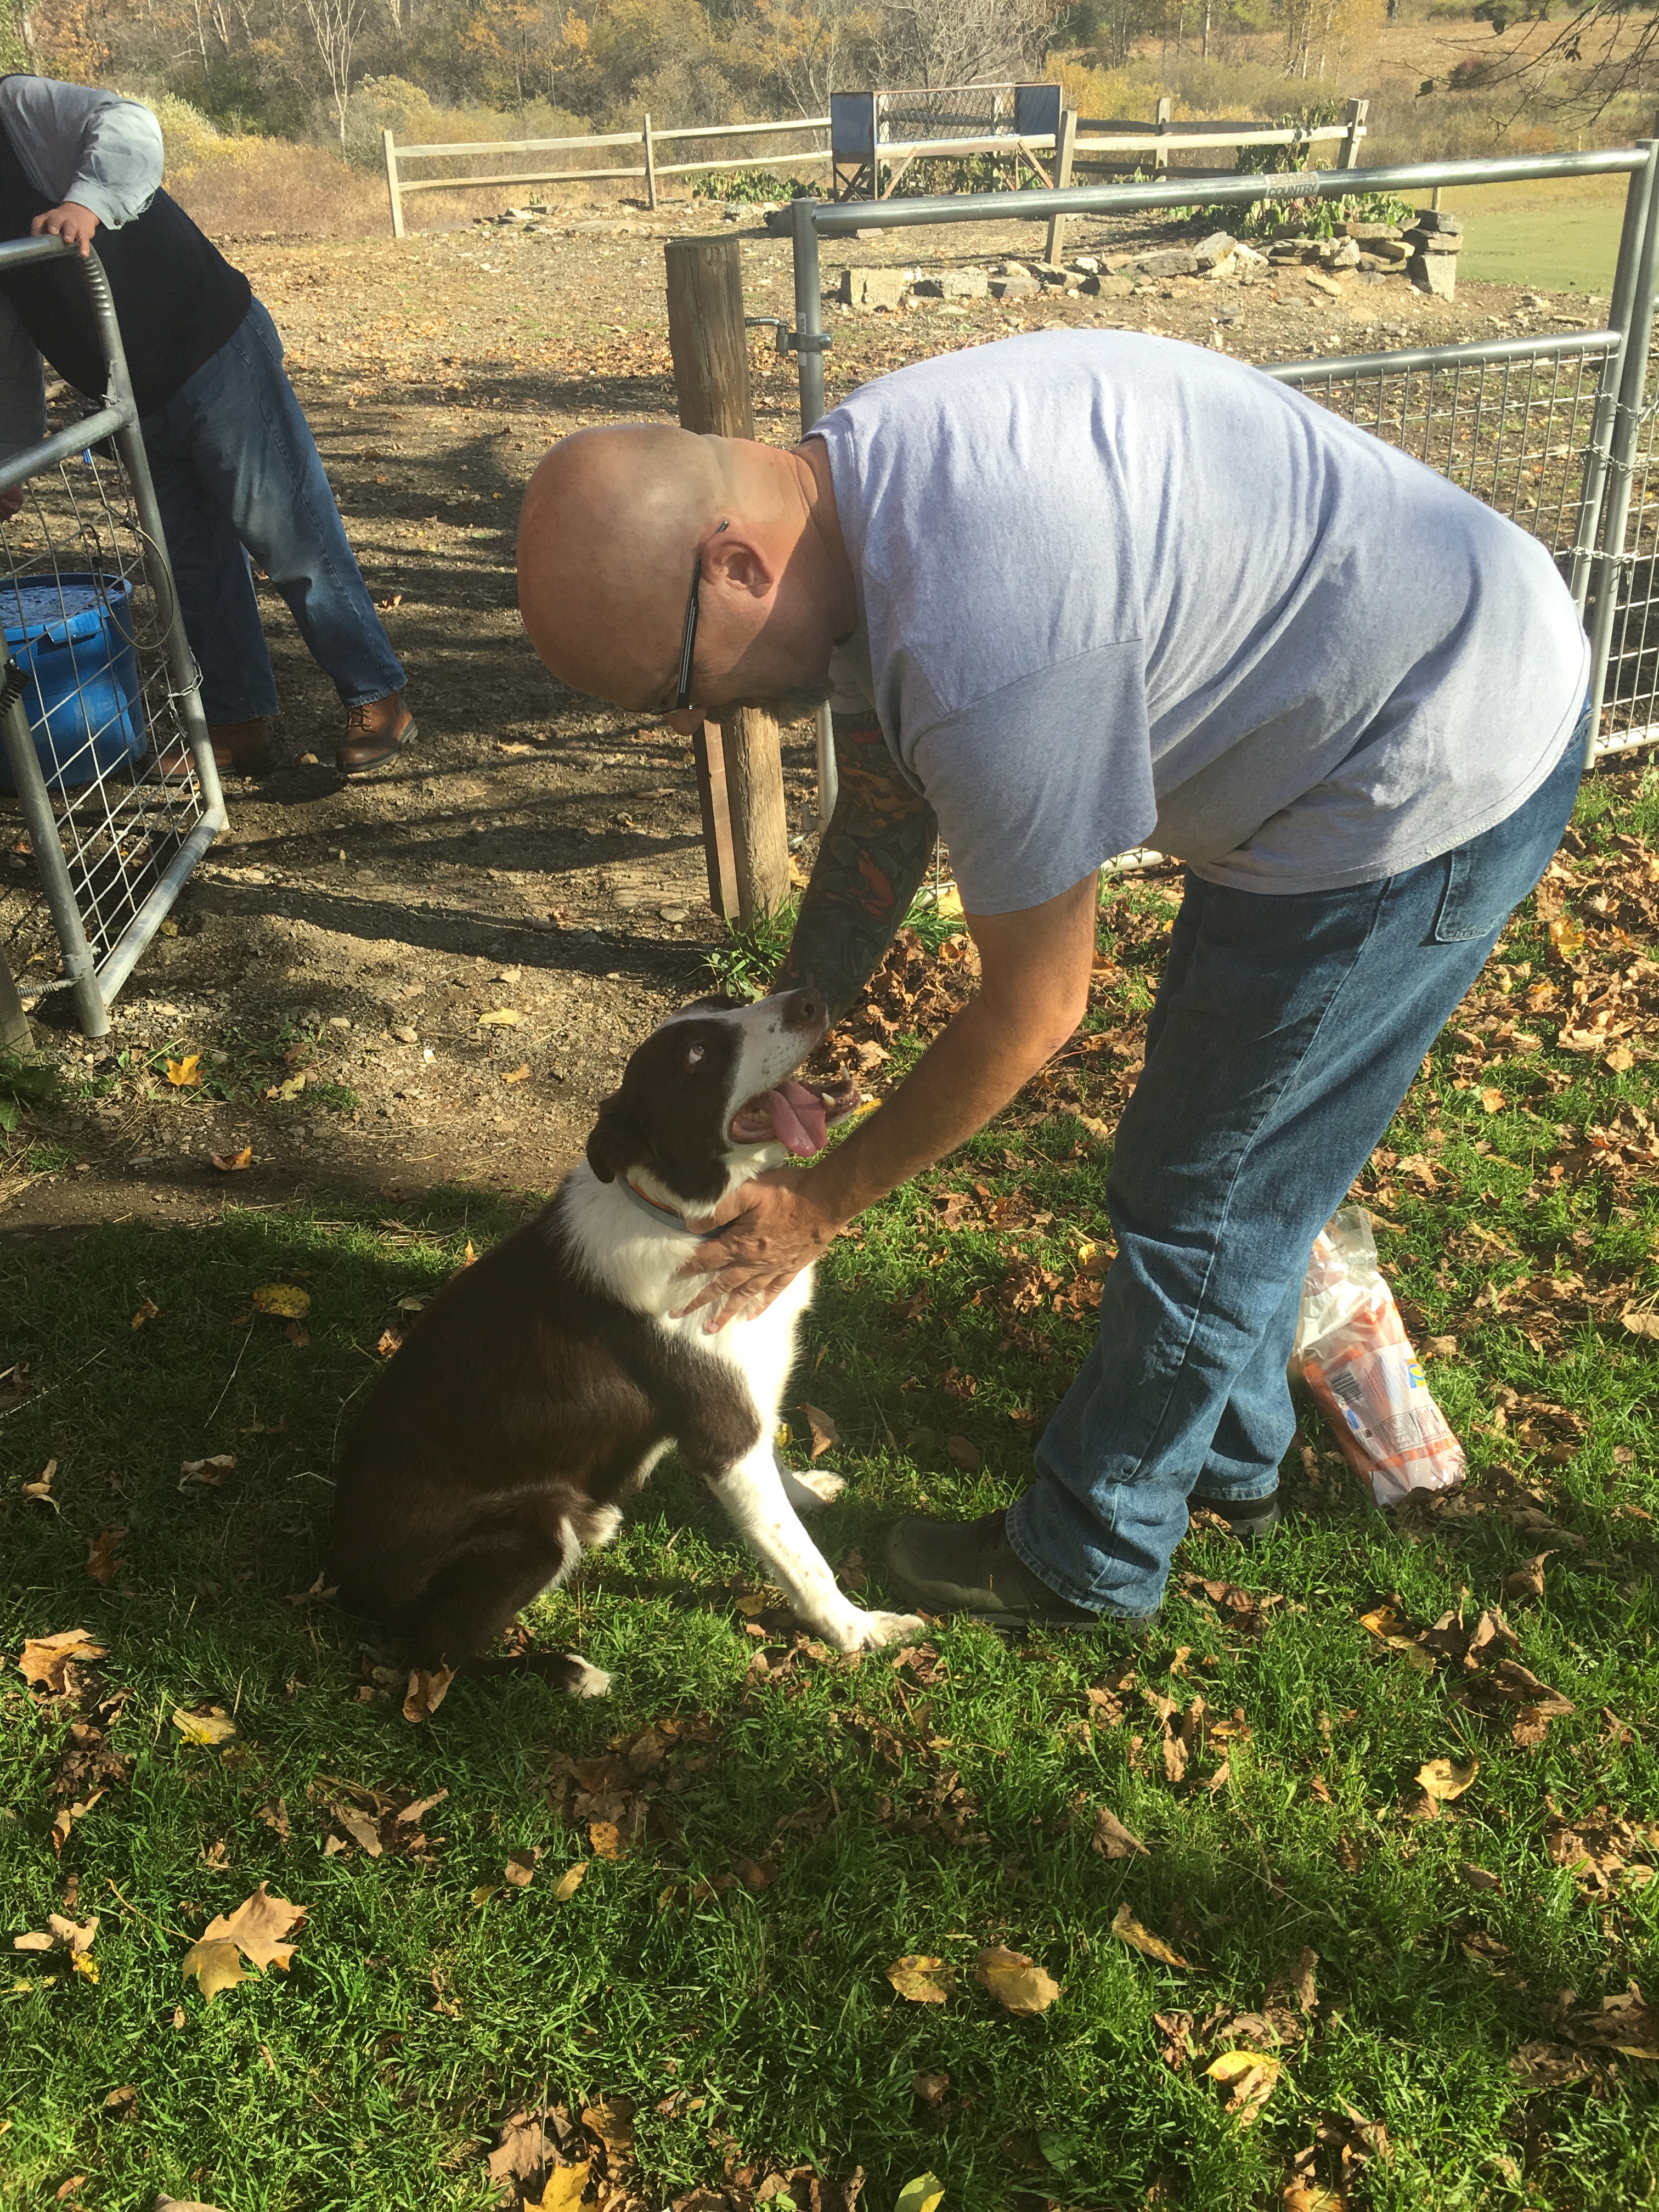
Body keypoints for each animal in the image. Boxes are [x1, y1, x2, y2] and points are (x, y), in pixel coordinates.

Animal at [330, 988, 926, 1692]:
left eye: (727, 1002)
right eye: (697, 1055)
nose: (809, 998)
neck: (688, 1222)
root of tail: (347, 1582)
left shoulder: (746, 1403)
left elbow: (779, 1479)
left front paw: (808, 1489)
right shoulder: (724, 1435)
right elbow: (799, 1555)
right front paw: (860, 1631)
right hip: (536, 1531)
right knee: (437, 1661)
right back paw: (569, 1673)